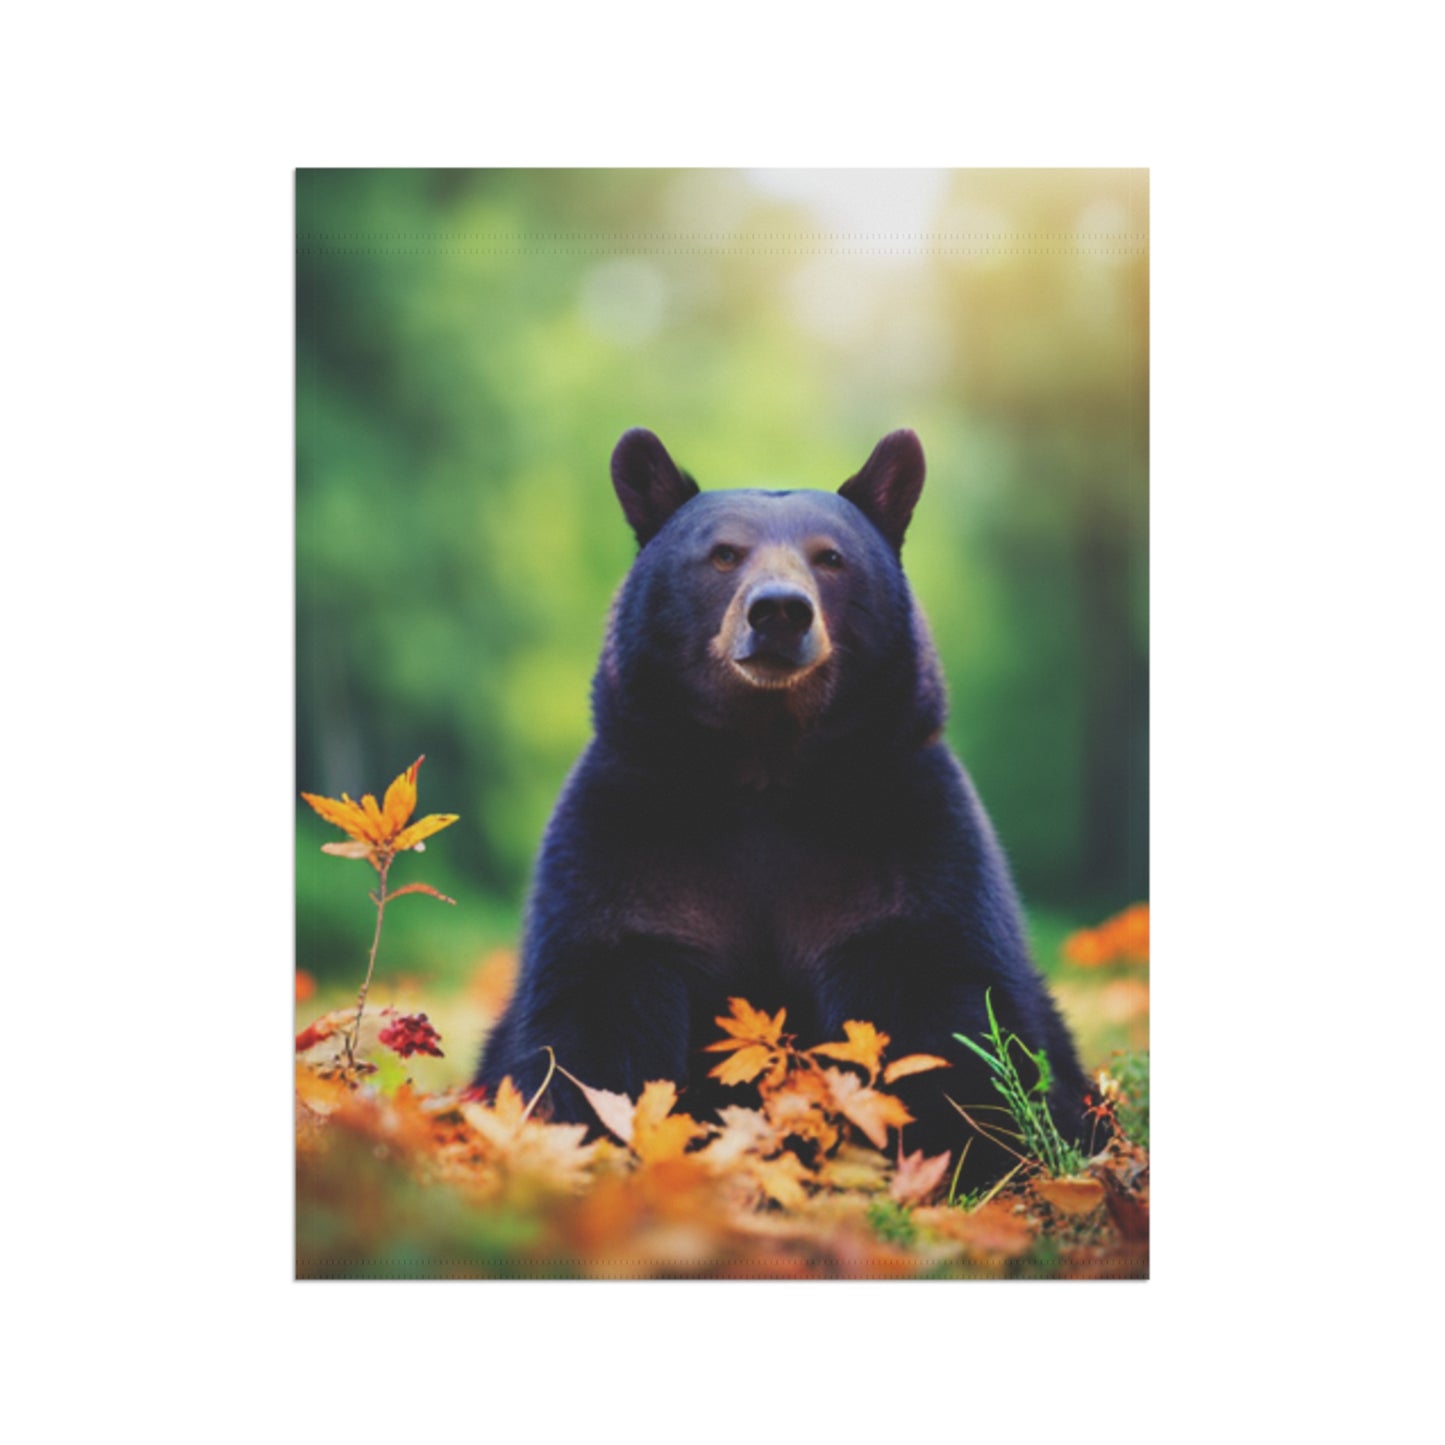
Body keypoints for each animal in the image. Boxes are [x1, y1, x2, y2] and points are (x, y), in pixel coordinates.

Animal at [474, 427, 1101, 1186]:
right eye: (722, 553)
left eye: (830, 557)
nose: (778, 610)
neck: (766, 770)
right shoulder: (628, 834)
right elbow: (593, 1017)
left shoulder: (908, 835)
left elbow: (945, 1013)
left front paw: (960, 1162)